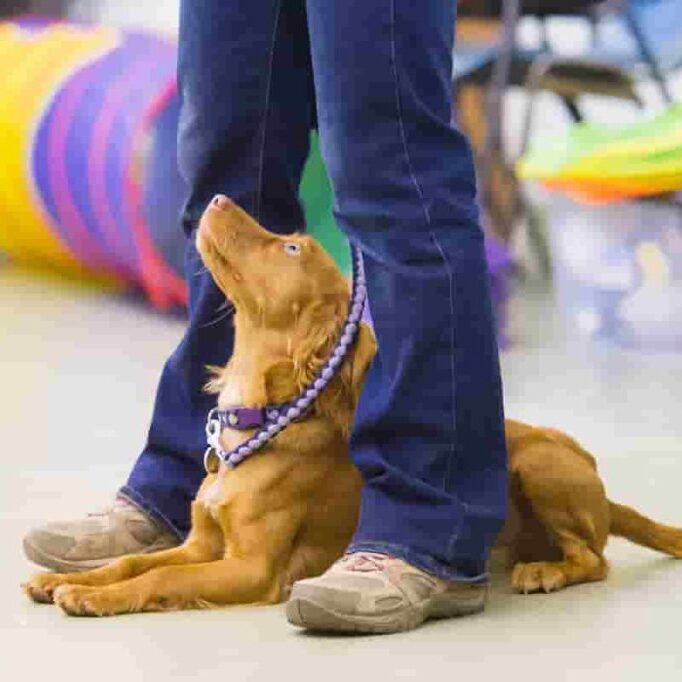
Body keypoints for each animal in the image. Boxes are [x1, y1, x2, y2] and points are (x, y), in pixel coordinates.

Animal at [23, 195, 680, 612]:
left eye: (292, 248)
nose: (216, 197)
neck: (258, 421)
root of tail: (603, 491)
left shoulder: (251, 568)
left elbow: (159, 577)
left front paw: (93, 597)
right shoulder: (201, 544)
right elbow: (139, 563)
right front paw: (67, 579)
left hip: (542, 464)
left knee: (595, 558)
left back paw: (546, 571)